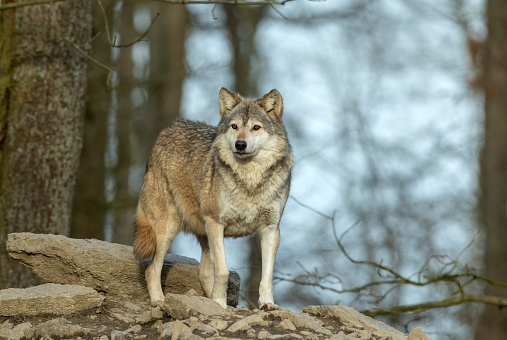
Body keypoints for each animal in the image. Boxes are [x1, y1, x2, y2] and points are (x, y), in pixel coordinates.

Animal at [133, 87, 294, 310]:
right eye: (234, 126)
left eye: (256, 127)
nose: (240, 144)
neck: (250, 180)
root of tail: (166, 130)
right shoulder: (216, 223)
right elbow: (224, 271)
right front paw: (220, 303)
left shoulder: (271, 228)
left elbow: (267, 276)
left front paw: (267, 304)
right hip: (168, 229)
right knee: (152, 269)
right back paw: (160, 301)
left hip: (201, 234)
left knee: (203, 271)